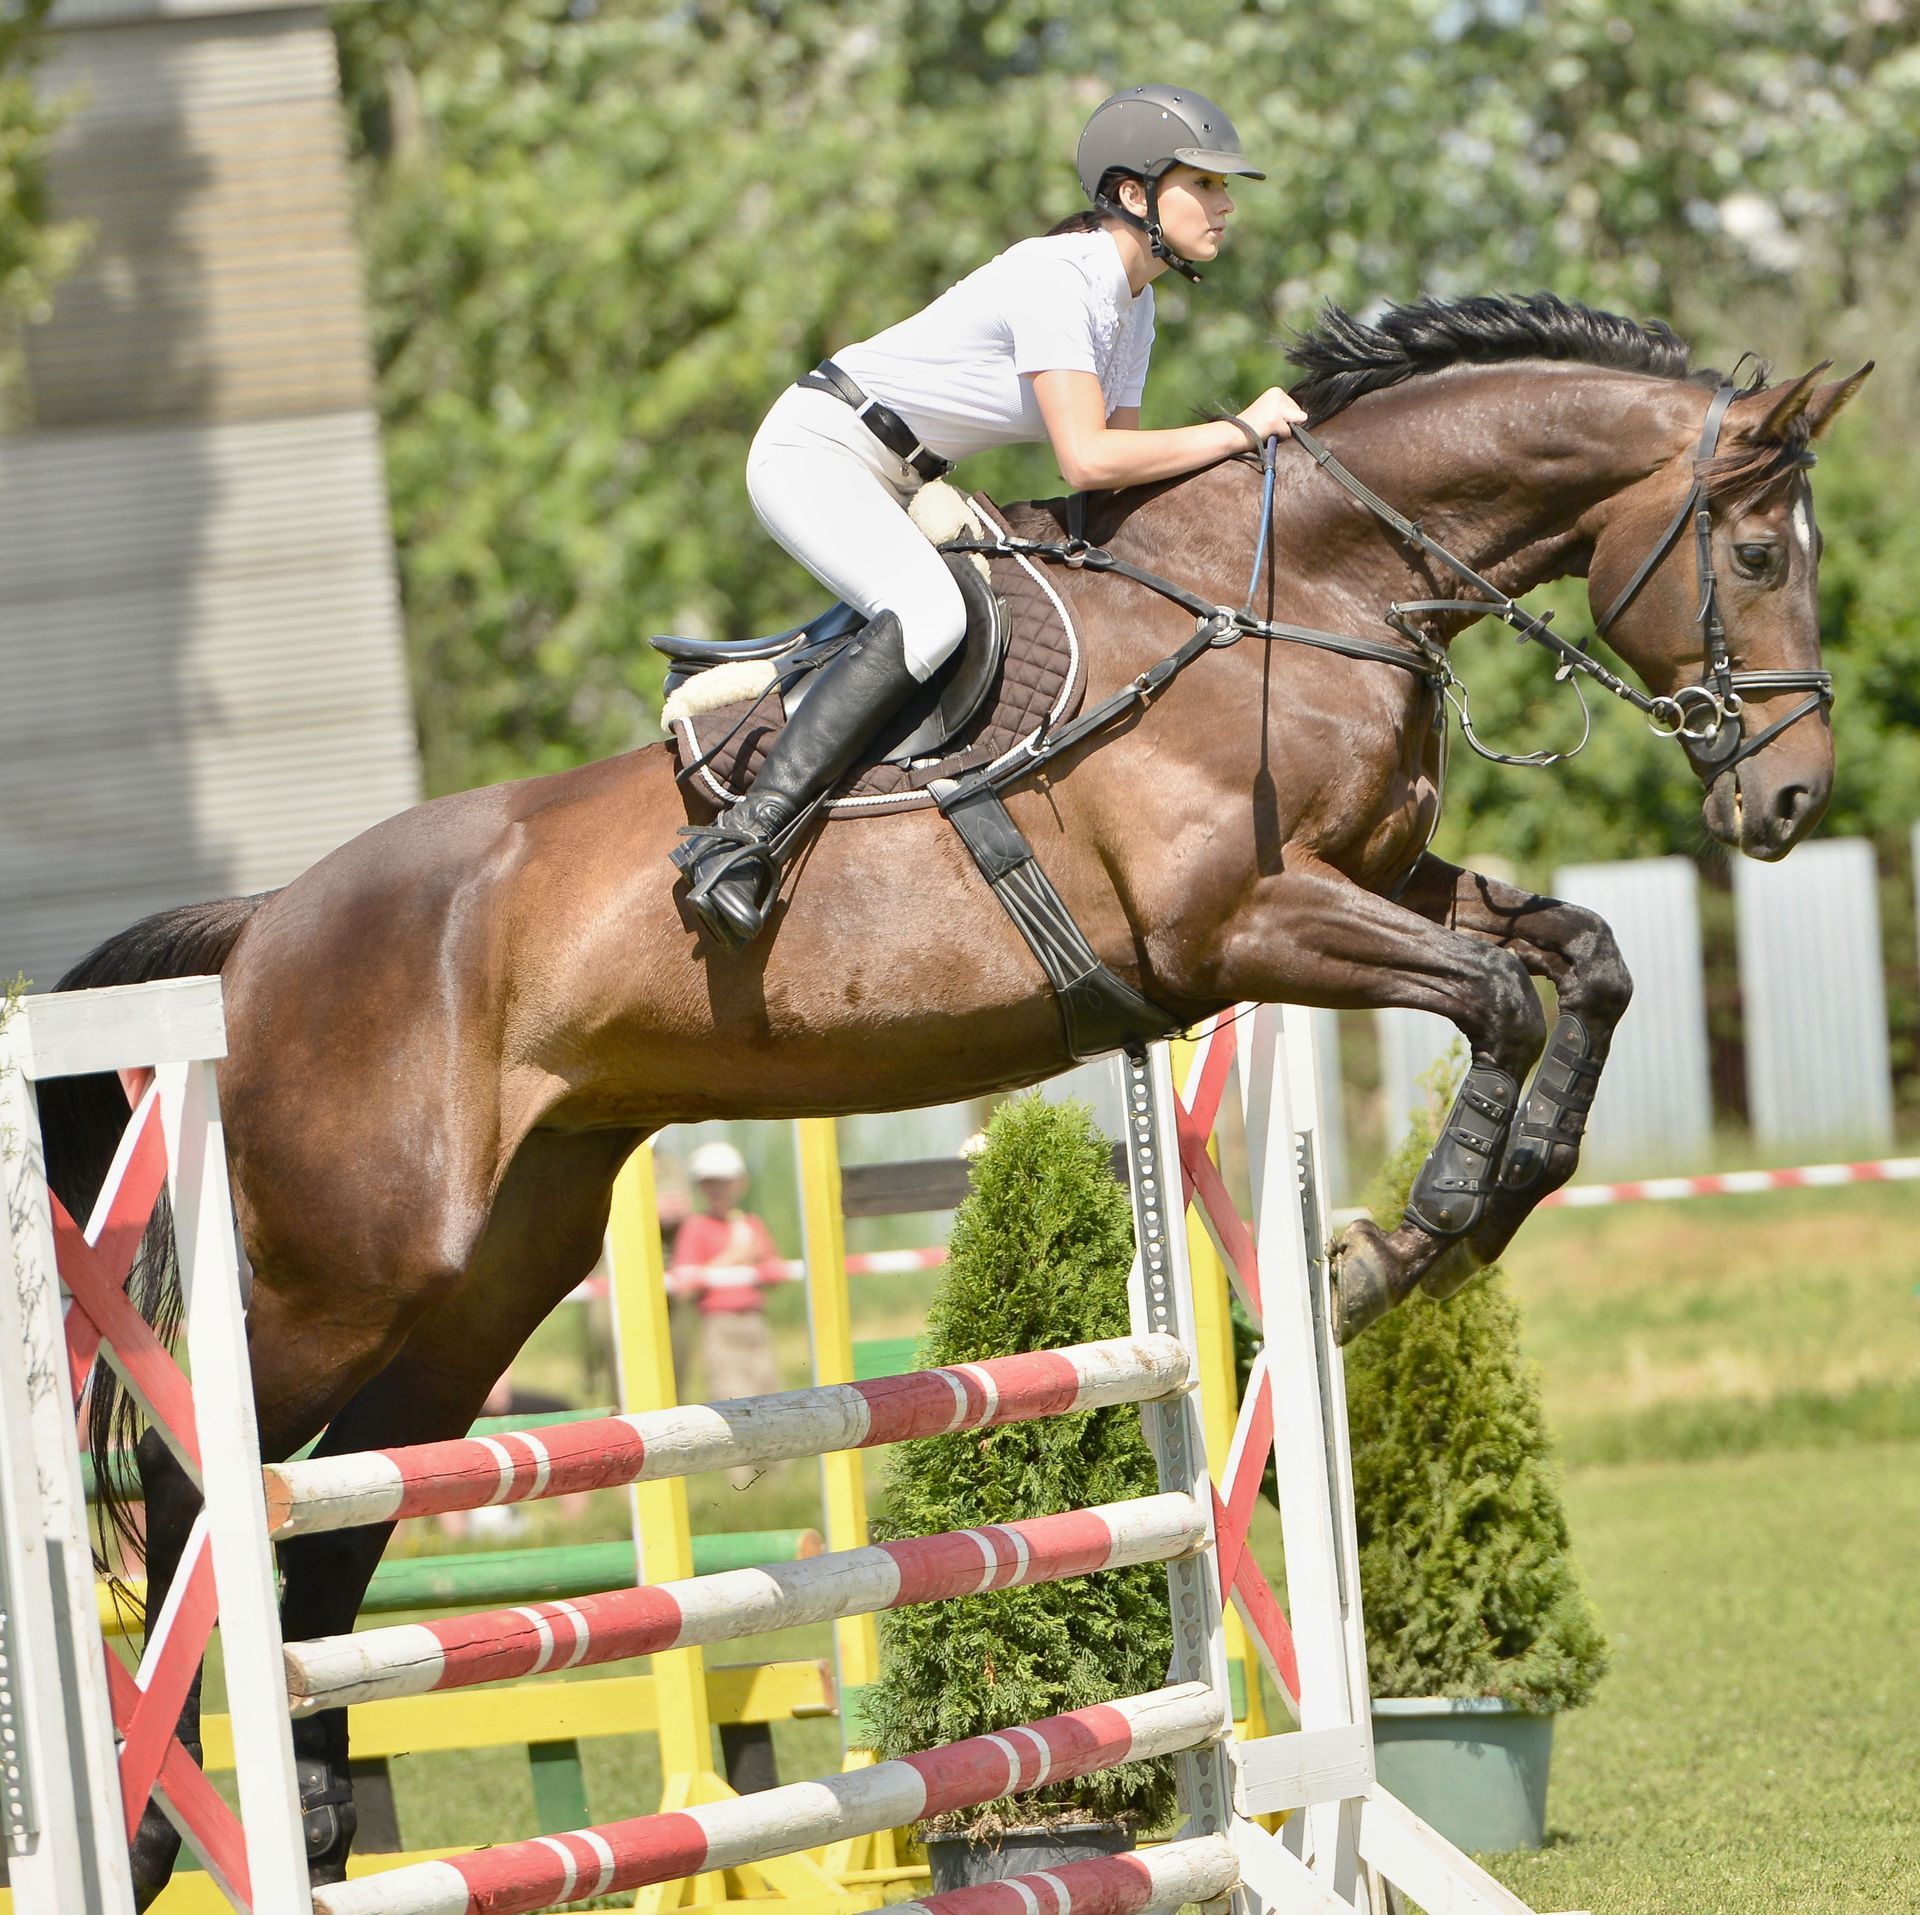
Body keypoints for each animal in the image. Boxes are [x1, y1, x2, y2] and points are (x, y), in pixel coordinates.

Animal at [40, 294, 1864, 1899]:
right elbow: (1498, 995)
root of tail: (264, 929)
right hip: (348, 1264)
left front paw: (1467, 1211)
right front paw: (1401, 1238)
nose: (1785, 802)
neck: (1306, 592)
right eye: (1758, 556)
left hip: (489, 1272)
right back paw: (167, 1820)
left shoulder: (1378, 885)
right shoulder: (1253, 927)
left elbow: (1585, 961)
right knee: (198, 1488)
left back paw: (316, 1824)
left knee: (338, 1518)